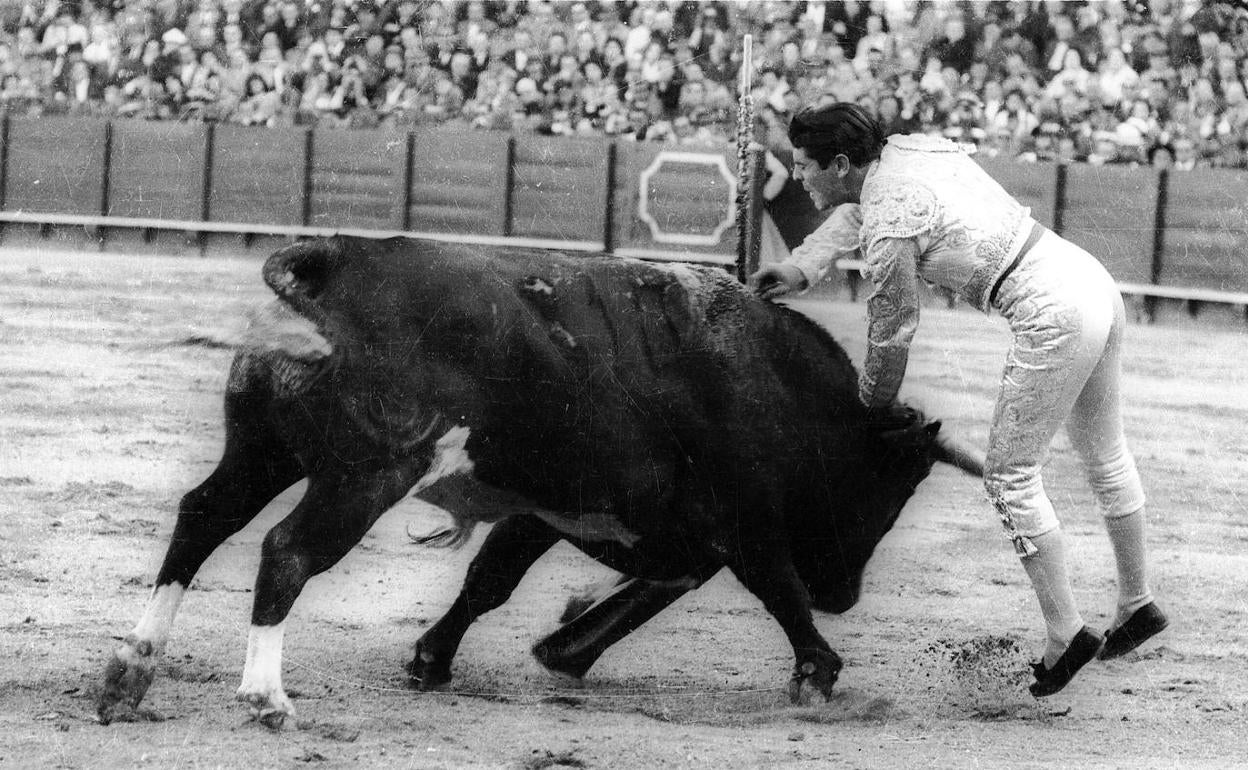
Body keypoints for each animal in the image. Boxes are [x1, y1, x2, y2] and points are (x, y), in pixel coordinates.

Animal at [97, 235, 978, 728]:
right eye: (893, 490)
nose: (845, 596)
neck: (776, 385)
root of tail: (334, 264)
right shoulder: (741, 523)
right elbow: (778, 592)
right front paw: (819, 673)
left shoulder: (558, 511)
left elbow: (492, 580)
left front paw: (436, 660)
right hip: (364, 475)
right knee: (286, 551)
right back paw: (264, 699)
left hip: (262, 451)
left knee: (201, 518)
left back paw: (132, 672)